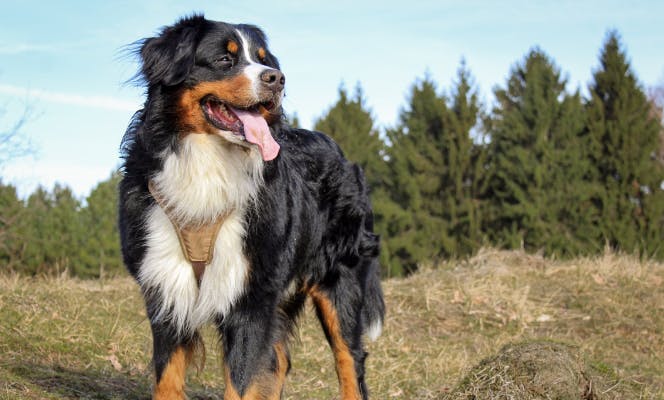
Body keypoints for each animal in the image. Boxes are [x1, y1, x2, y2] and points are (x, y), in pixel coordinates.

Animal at [119, 14, 384, 398]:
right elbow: (167, 379)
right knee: (279, 361)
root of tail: (344, 155)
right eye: (224, 59)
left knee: (350, 360)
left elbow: (242, 383)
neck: (208, 165)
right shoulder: (167, 289)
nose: (277, 78)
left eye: (263, 59)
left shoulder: (251, 299)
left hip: (339, 281)